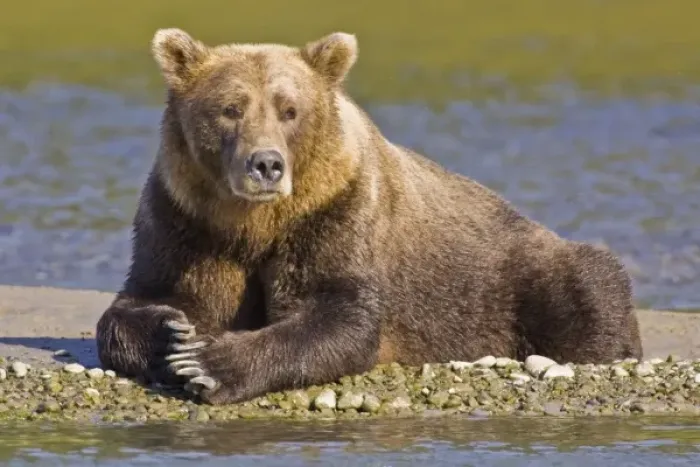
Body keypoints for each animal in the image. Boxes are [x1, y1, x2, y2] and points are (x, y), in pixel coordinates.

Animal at [95, 27, 643, 405]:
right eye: (230, 108)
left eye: (290, 110)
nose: (266, 164)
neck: (254, 223)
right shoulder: (185, 219)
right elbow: (140, 299)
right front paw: (170, 331)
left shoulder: (334, 211)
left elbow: (338, 314)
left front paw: (208, 363)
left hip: (515, 270)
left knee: (590, 287)